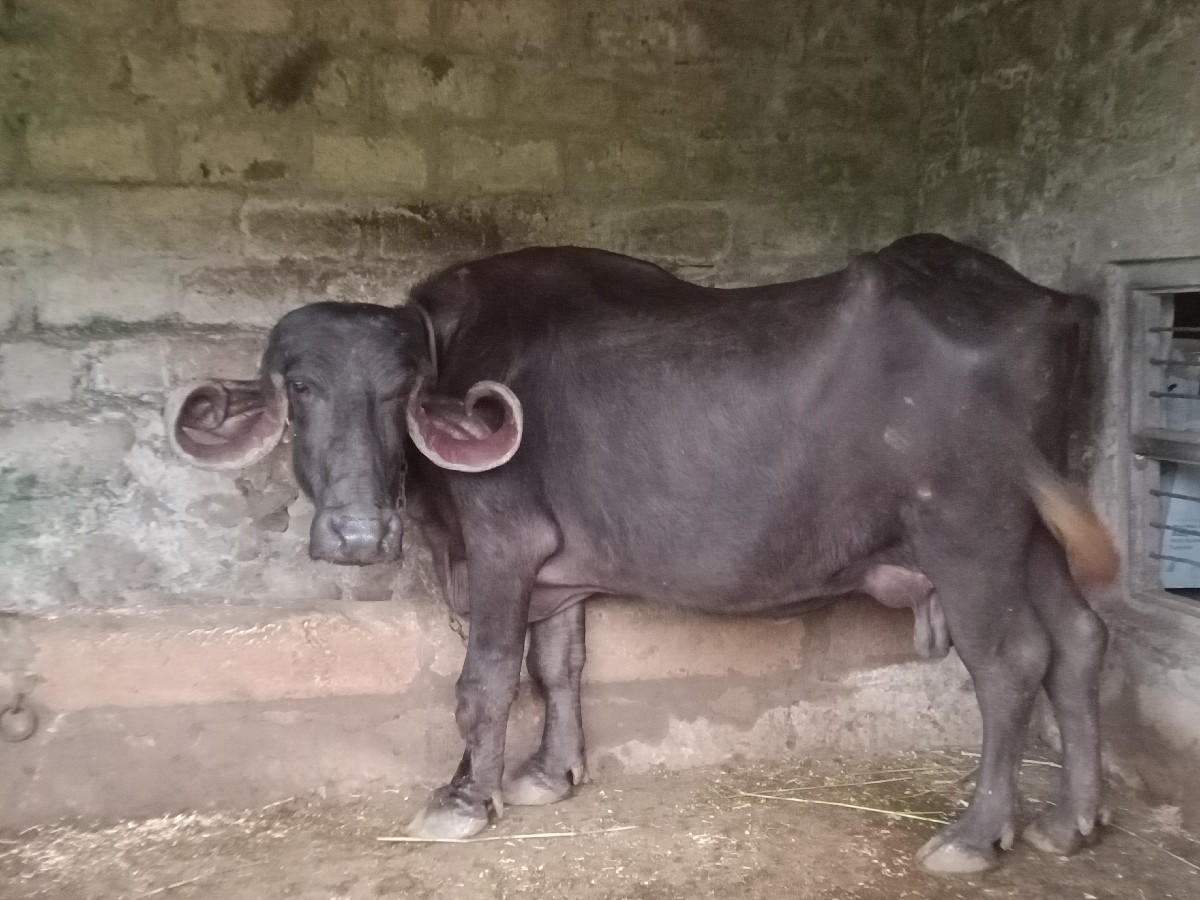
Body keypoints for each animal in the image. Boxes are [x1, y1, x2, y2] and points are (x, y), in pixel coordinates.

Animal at [166, 234, 1118, 874]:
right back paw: (1071, 822)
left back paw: (975, 836)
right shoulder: (555, 575)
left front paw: (465, 797)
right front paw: (549, 773)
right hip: (1035, 528)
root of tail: (1046, 303)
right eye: (302, 388)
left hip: (967, 529)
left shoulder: (502, 544)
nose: (359, 534)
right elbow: (557, 664)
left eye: (400, 390)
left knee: (1011, 661)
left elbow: (485, 681)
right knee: (1078, 641)